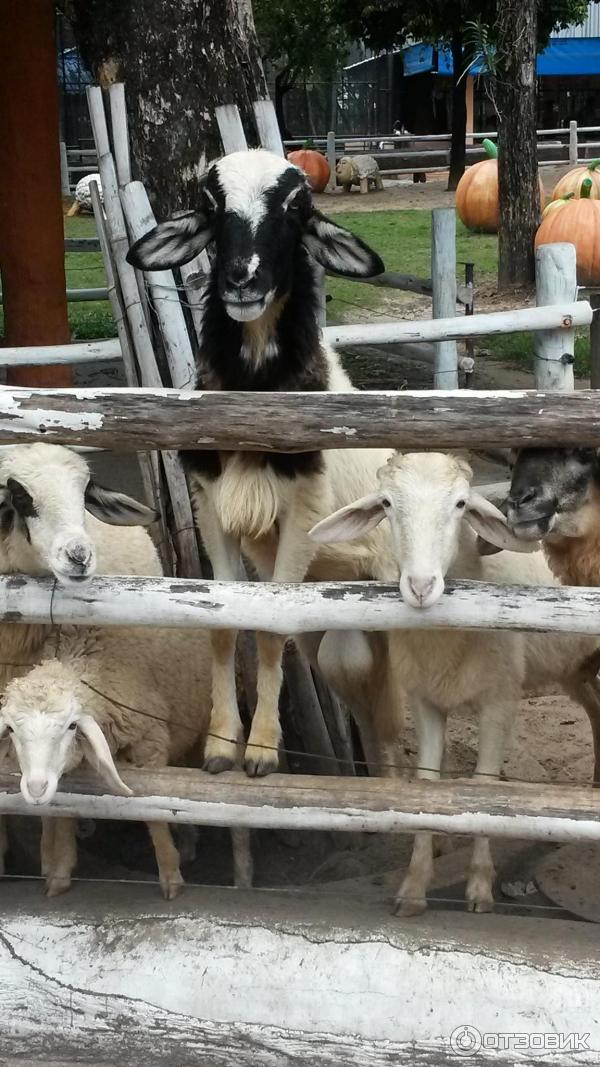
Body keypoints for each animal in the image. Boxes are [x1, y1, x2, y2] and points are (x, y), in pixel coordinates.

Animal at [309, 452, 597, 917]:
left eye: (461, 504)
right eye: (387, 503)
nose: (421, 587)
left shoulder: (500, 700)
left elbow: (482, 786)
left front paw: (479, 888)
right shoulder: (425, 700)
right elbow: (428, 784)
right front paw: (413, 886)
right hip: (574, 667)